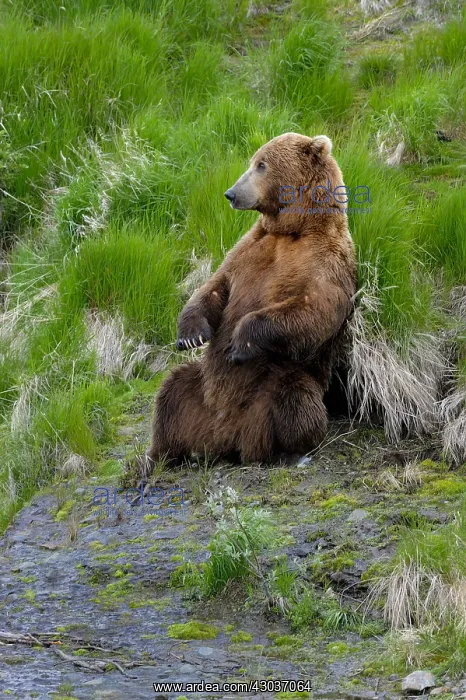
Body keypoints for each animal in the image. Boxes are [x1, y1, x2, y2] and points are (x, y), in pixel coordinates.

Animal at [146, 132, 357, 470]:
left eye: (262, 165)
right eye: (253, 161)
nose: (231, 193)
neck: (295, 229)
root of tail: (227, 435)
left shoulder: (326, 261)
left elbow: (313, 309)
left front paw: (239, 343)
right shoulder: (250, 248)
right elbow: (216, 286)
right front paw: (191, 335)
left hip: (270, 389)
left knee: (293, 397)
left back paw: (291, 452)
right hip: (199, 391)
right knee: (171, 392)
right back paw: (157, 457)